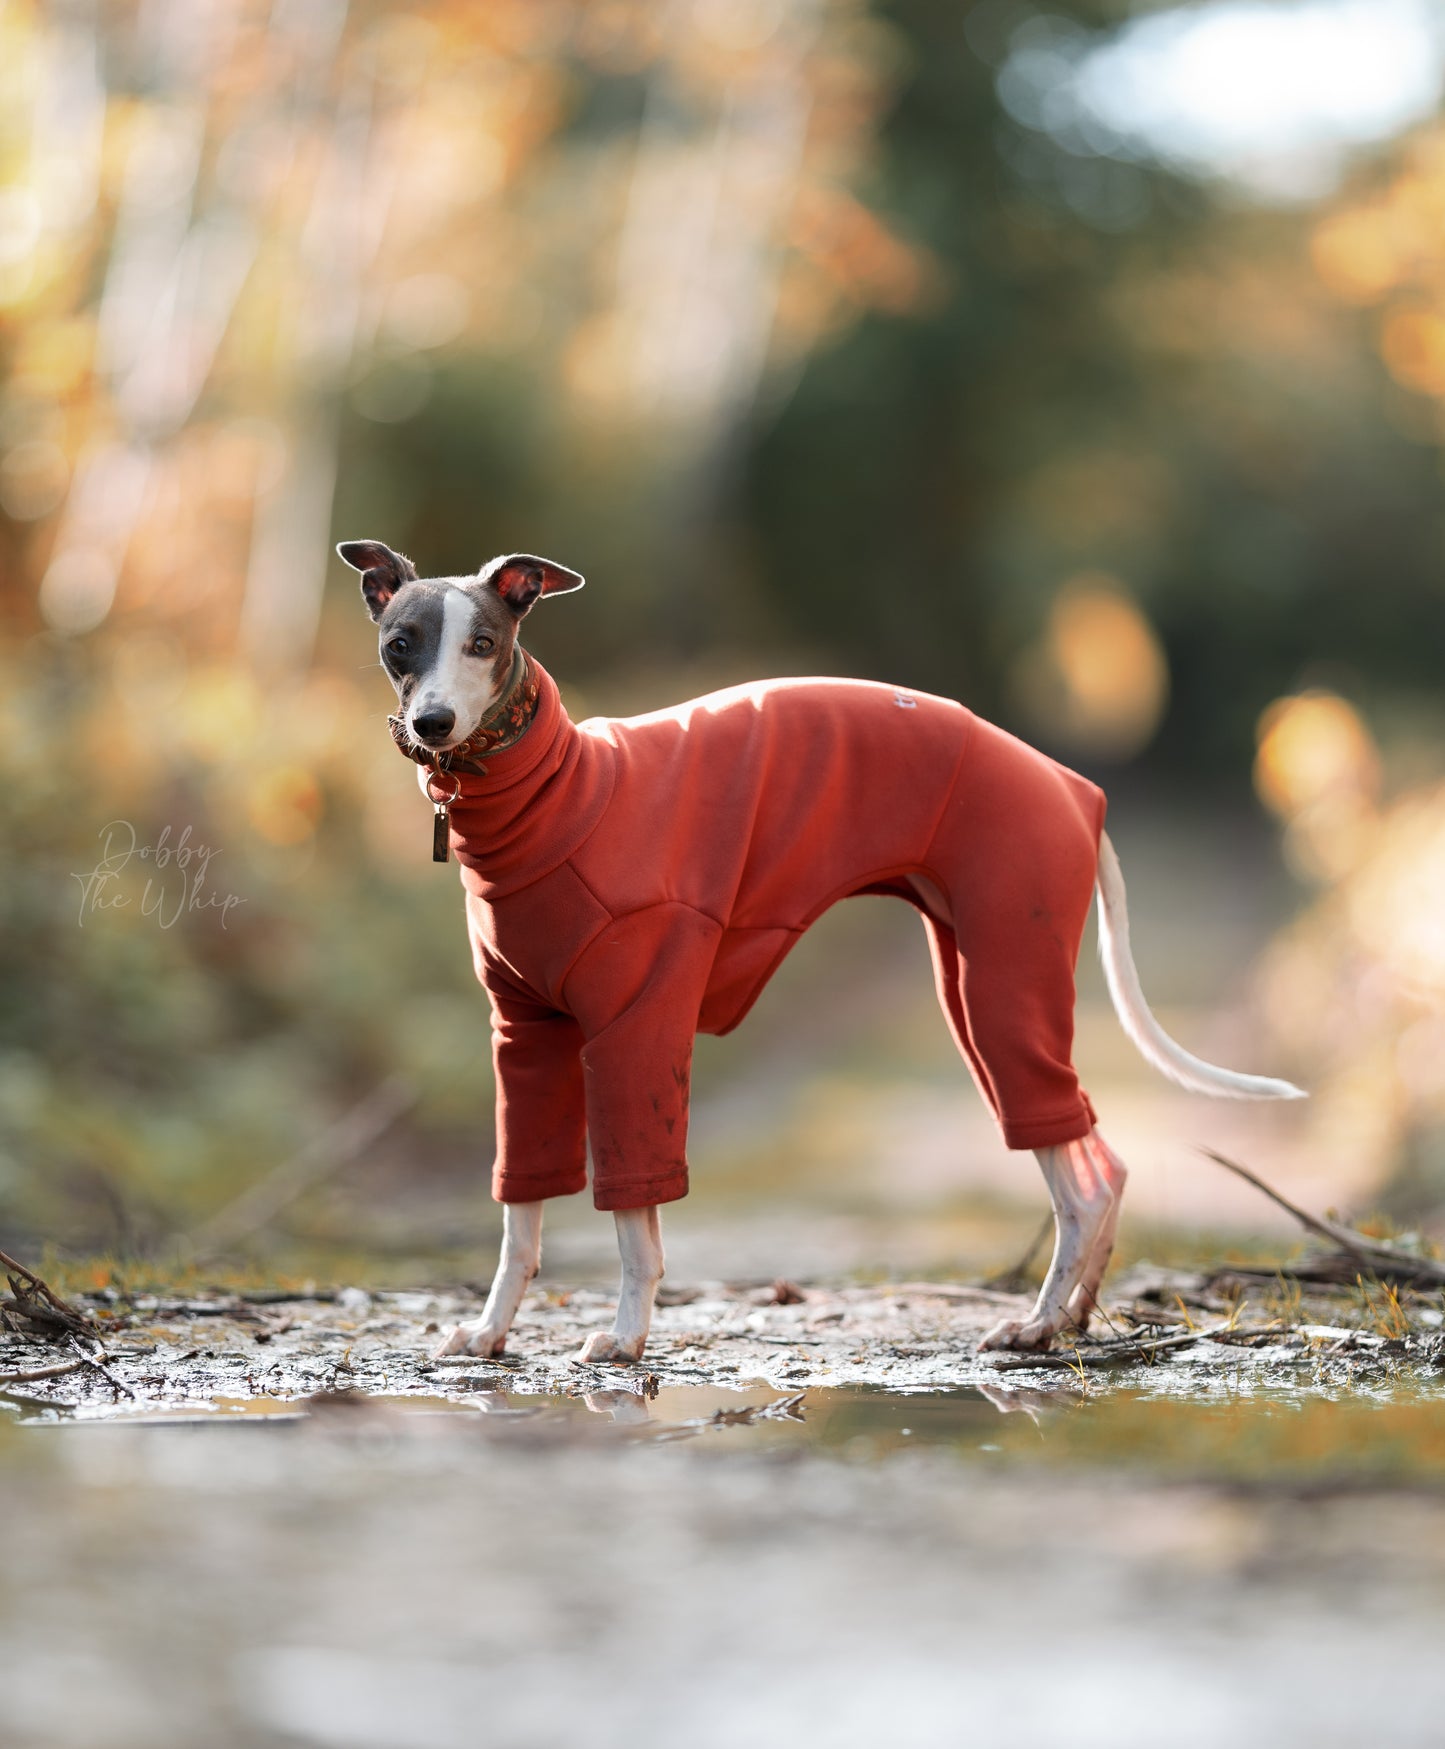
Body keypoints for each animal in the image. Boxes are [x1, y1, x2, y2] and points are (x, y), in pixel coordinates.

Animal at [341, 538, 1308, 1357]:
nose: (432, 724)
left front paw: (624, 1337)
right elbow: (521, 1208)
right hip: (976, 986)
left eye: (483, 642)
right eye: (401, 644)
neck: (562, 792)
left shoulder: (636, 1028)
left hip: (1003, 983)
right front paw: (488, 1331)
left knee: (1080, 1180)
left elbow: (634, 1208)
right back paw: (1068, 1316)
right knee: (1097, 1158)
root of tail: (1075, 789)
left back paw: (1034, 1324)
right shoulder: (524, 1036)